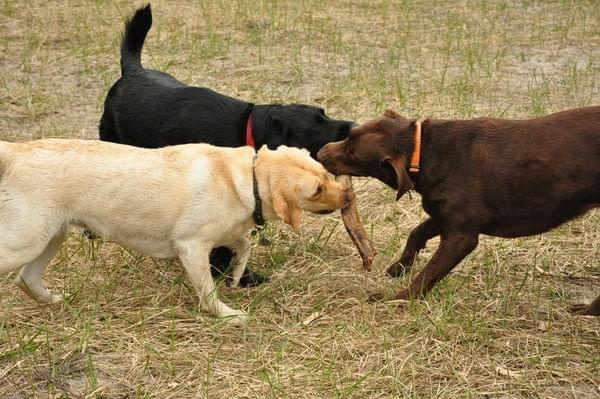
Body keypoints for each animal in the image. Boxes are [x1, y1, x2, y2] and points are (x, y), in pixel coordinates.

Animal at [99, 5, 356, 288]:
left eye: (325, 113)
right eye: (316, 126)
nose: (354, 126)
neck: (246, 129)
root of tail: (131, 71)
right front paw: (237, 275)